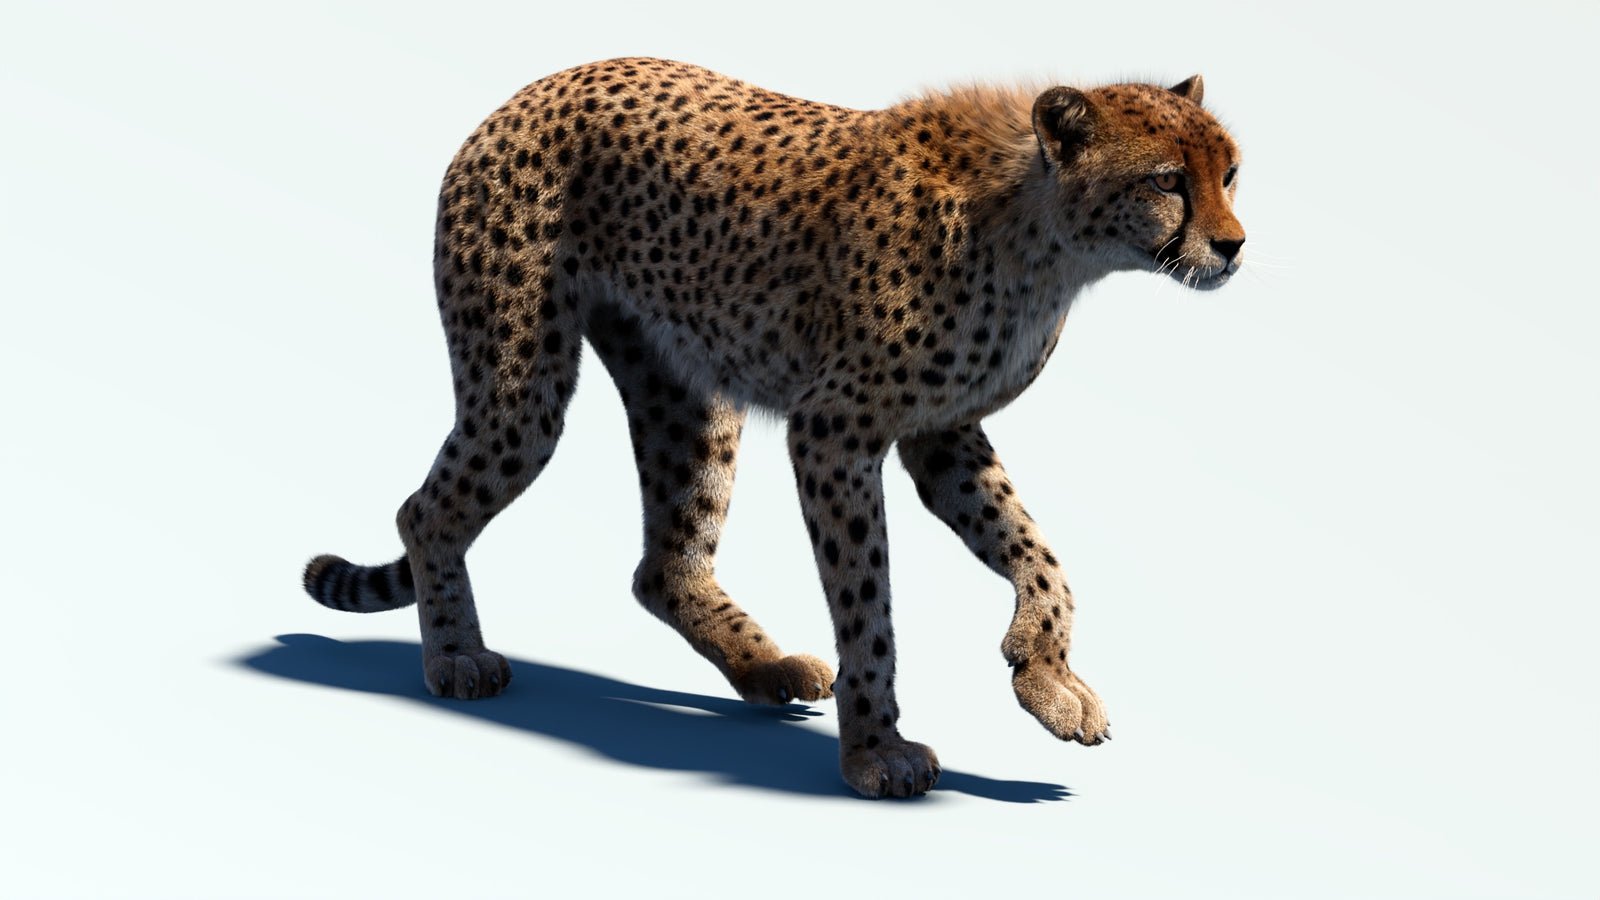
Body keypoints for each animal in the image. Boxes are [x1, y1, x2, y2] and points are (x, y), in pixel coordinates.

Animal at [302, 57, 1245, 799]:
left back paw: (763, 664)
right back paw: (457, 658)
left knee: (663, 563)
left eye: (1230, 172)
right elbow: (868, 604)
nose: (1234, 244)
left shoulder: (941, 434)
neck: (1044, 236)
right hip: (521, 382)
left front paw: (1046, 676)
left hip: (686, 394)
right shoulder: (835, 432)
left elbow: (1037, 551)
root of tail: (530, 91)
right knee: (426, 511)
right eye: (1167, 179)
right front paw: (878, 752)